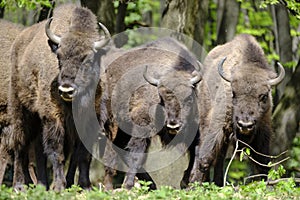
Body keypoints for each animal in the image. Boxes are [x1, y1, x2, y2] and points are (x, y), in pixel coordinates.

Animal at [8, 3, 110, 191]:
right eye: (59, 57)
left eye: (87, 59)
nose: (66, 89)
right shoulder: (53, 118)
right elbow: (58, 152)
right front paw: (60, 186)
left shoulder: (90, 121)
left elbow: (82, 155)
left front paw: (84, 186)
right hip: (22, 110)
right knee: (20, 145)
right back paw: (19, 185)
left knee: (39, 151)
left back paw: (42, 184)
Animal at [100, 37, 202, 189]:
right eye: (162, 97)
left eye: (189, 97)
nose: (173, 125)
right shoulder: (141, 125)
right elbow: (137, 153)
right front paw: (128, 184)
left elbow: (195, 150)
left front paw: (188, 181)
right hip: (113, 123)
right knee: (113, 152)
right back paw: (109, 186)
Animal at [191, 34, 284, 186]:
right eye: (233, 93)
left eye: (264, 96)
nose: (245, 125)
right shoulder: (218, 124)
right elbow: (205, 157)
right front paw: (193, 186)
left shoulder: (264, 128)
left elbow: (262, 163)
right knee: (203, 150)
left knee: (220, 156)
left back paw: (218, 183)